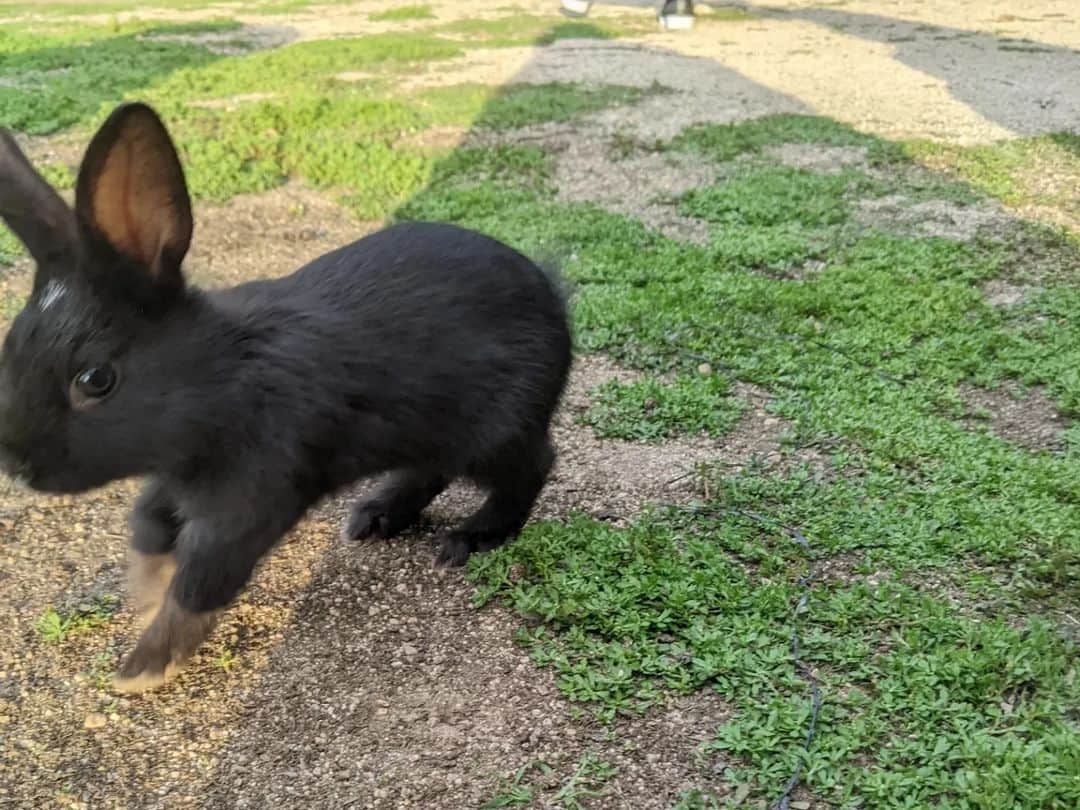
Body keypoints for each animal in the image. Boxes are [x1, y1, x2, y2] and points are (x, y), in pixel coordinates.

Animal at [0, 104, 574, 695]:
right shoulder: (176, 476)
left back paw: (468, 539)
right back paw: (374, 516)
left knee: (530, 469)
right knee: (431, 471)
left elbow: (201, 582)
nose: (16, 466)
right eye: (9, 348)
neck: (225, 377)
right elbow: (148, 524)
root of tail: (552, 301)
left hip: (492, 432)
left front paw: (145, 666)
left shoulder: (250, 500)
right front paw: (145, 590)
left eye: (96, 379)